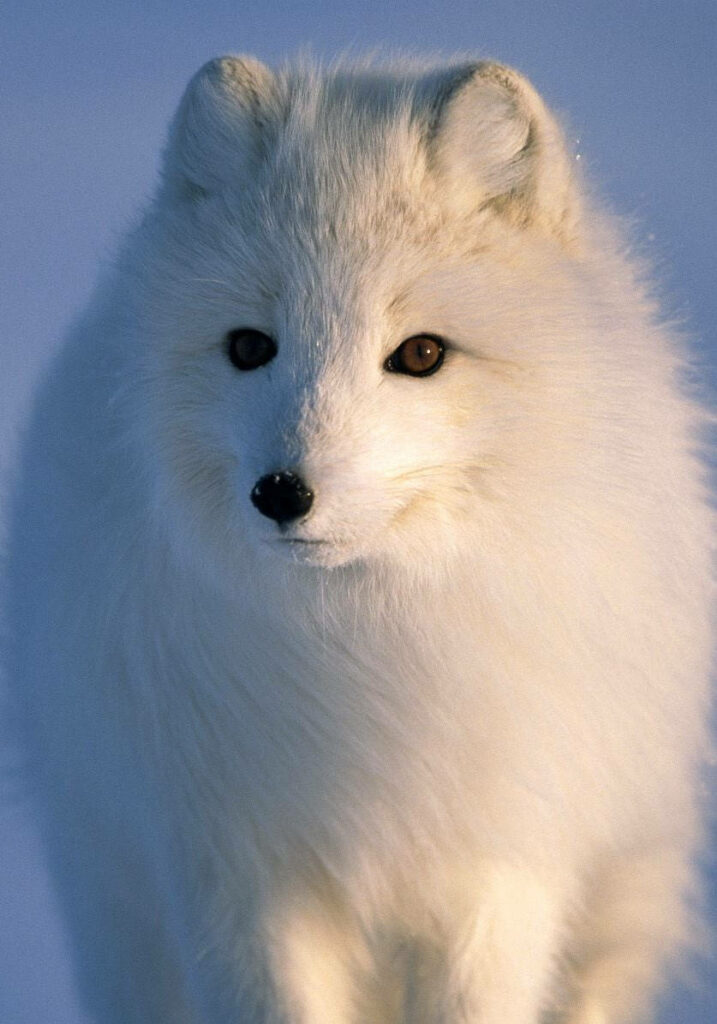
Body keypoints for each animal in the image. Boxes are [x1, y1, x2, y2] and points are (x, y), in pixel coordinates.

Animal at [4, 54, 714, 1024]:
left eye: (419, 354)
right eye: (248, 346)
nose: (281, 493)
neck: (367, 647)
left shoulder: (495, 871)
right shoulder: (239, 874)